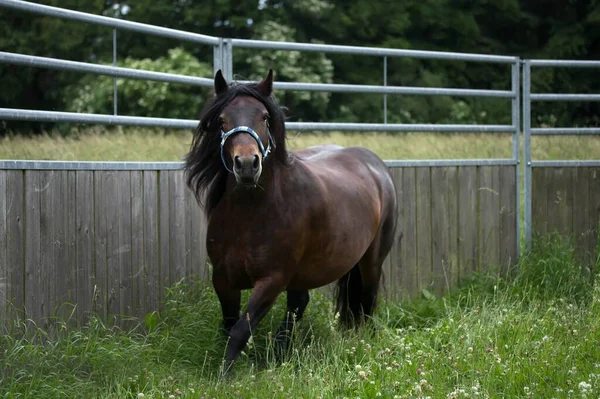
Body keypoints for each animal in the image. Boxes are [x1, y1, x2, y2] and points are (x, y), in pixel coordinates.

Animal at [185, 69, 396, 372]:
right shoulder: (222, 278)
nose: (247, 164)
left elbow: (240, 330)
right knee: (299, 303)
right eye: (222, 120)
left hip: (370, 262)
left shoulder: (272, 279)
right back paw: (281, 352)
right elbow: (228, 325)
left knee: (366, 302)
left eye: (264, 117)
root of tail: (376, 165)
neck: (249, 216)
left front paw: (225, 375)